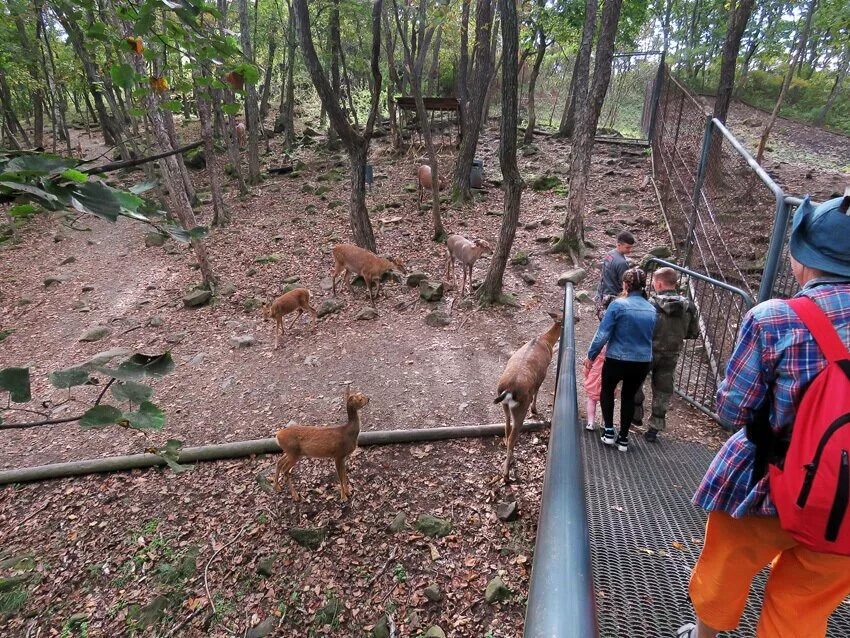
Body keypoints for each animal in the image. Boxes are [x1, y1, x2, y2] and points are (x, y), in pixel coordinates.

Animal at [490, 312, 564, 482]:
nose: (577, 319)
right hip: (520, 408)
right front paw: (535, 410)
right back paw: (506, 475)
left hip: (505, 406)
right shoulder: (542, 375)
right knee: (512, 435)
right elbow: (537, 392)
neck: (546, 341)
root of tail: (508, 391)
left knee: (506, 428)